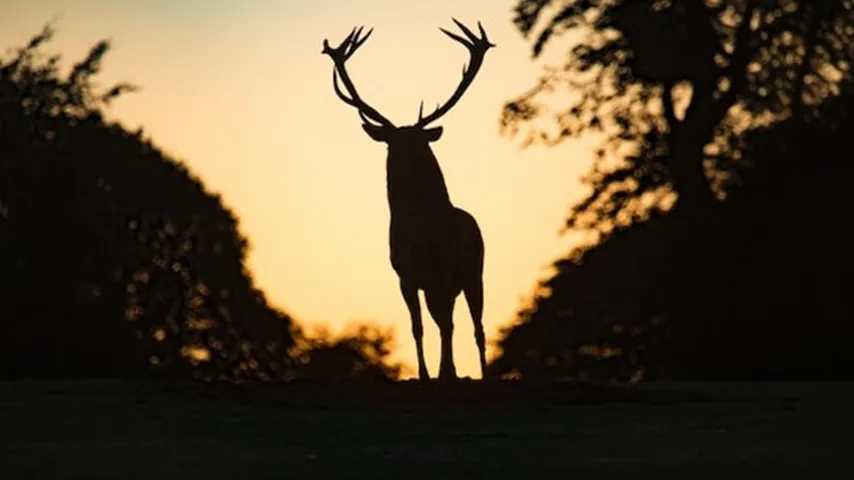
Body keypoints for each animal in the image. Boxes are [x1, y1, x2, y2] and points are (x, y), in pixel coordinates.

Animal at [320, 20, 494, 380]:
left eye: (414, 142)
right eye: (392, 142)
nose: (401, 159)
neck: (419, 231)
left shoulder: (444, 273)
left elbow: (447, 326)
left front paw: (447, 372)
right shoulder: (405, 276)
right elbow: (418, 327)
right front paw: (427, 373)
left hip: (475, 273)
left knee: (476, 326)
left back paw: (479, 372)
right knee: (445, 321)